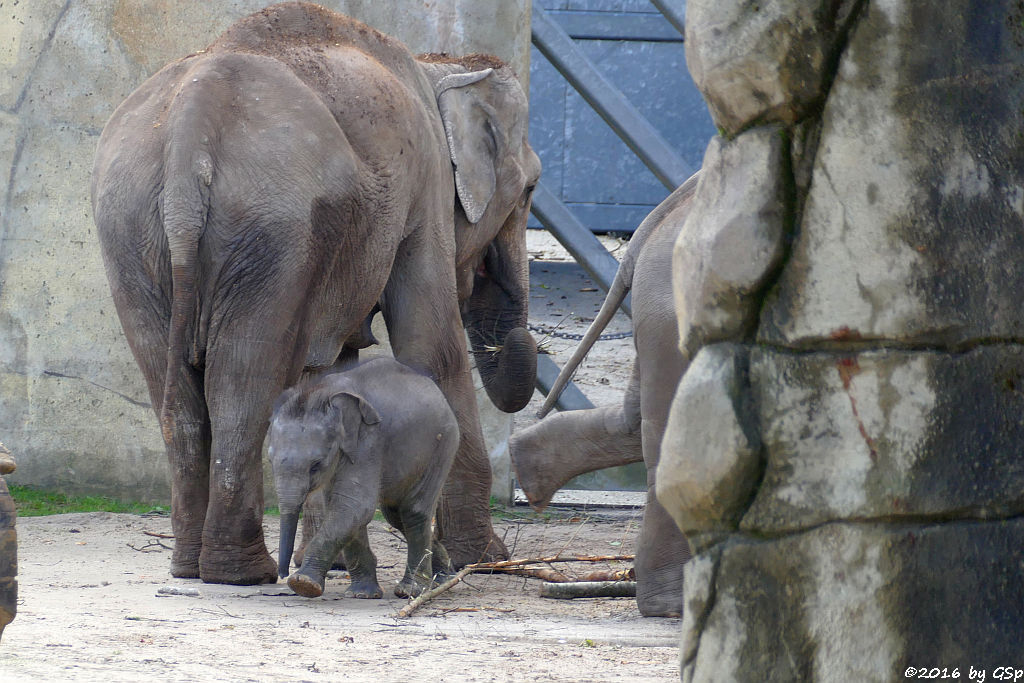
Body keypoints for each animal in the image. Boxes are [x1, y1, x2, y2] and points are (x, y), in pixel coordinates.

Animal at [266, 358, 458, 598]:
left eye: (315, 466)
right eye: (270, 460)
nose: (282, 575)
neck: (322, 392)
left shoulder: (369, 442)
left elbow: (355, 506)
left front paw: (304, 584)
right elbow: (345, 510)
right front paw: (362, 594)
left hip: (442, 446)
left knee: (413, 511)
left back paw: (411, 591)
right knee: (396, 515)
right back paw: (444, 578)